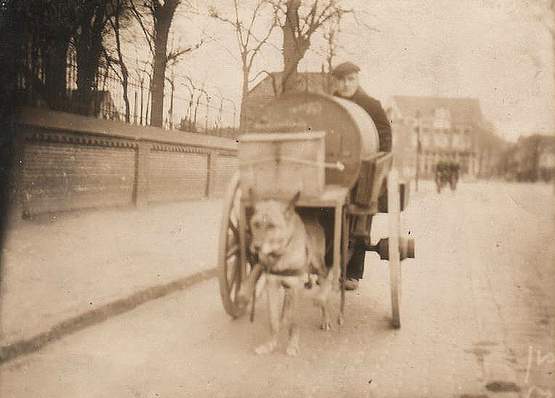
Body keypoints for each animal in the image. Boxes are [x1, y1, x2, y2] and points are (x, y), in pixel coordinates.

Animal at [249, 191, 334, 356]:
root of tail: (312, 218)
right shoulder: (272, 285)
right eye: (256, 224)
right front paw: (270, 344)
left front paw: (293, 345)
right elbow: (273, 319)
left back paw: (325, 316)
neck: (280, 253)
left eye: (271, 226)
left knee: (325, 283)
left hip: (318, 266)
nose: (256, 247)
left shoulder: (296, 288)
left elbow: (294, 322)